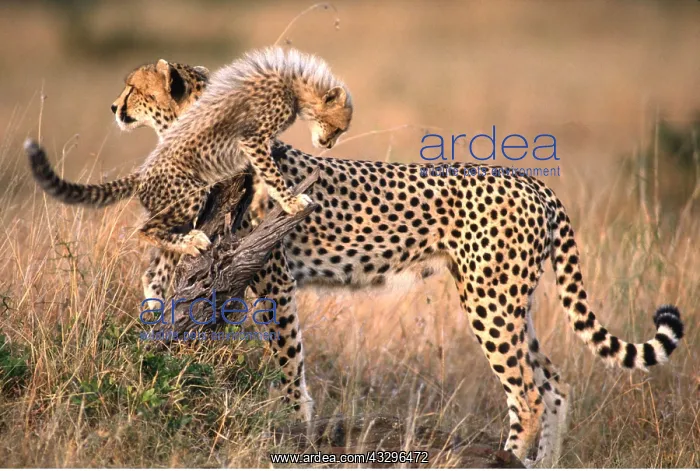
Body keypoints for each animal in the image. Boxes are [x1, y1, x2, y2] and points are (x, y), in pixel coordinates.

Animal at [25, 58, 684, 467]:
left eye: (134, 88)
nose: (113, 106)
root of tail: (533, 181)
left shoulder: (273, 280)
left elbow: (288, 363)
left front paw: (296, 428)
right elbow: (162, 275)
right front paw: (152, 321)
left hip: (491, 302)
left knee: (528, 389)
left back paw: (513, 456)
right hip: (504, 299)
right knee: (555, 380)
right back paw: (542, 463)